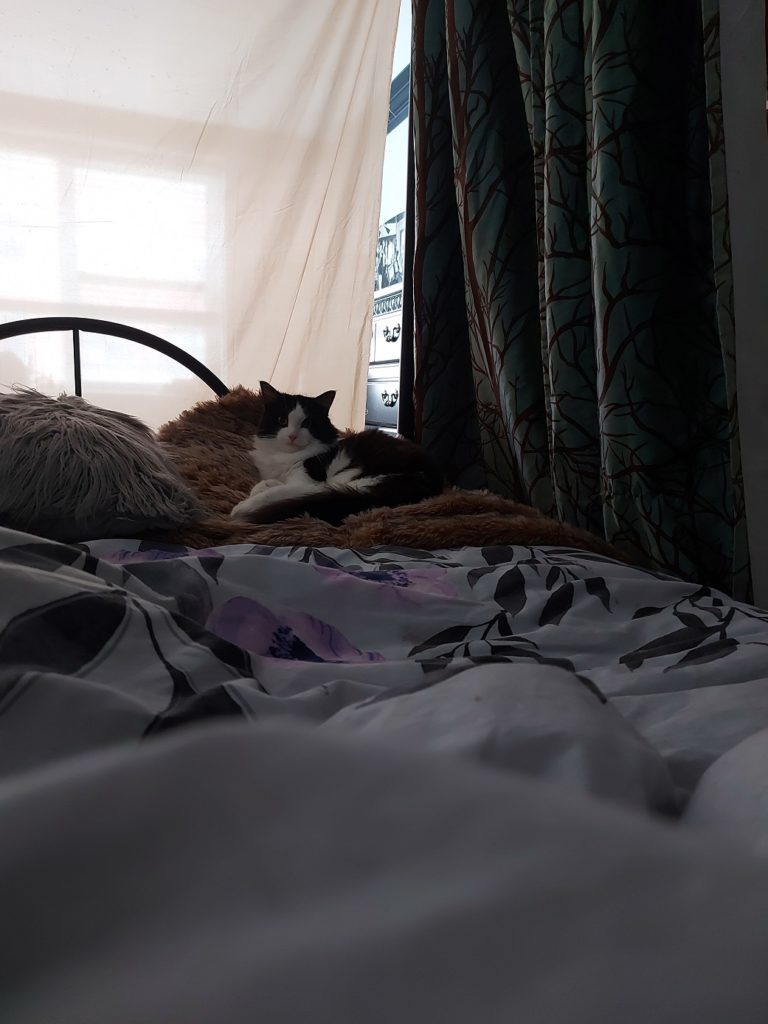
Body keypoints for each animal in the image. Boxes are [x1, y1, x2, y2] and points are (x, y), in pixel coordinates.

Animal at [228, 385, 444, 528]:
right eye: (282, 421)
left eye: (307, 423)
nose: (292, 436)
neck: (286, 457)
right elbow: (266, 485)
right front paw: (259, 488)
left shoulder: (309, 483)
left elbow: (273, 493)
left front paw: (242, 508)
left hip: (353, 480)